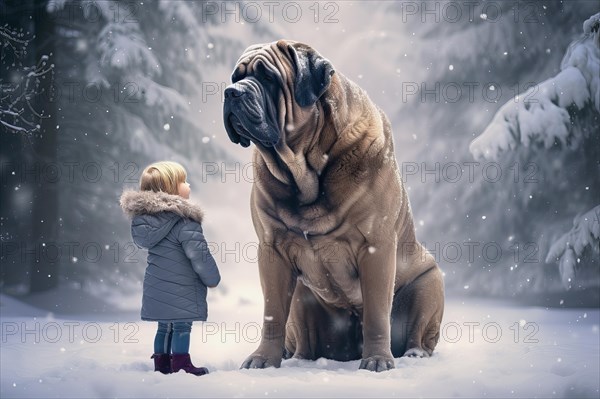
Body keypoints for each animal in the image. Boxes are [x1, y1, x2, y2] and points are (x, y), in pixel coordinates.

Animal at [223, 40, 442, 372]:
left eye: (268, 78)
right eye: (236, 77)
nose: (231, 92)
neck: (305, 168)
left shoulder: (376, 248)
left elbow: (377, 312)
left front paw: (377, 359)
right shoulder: (271, 250)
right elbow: (272, 315)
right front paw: (262, 360)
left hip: (429, 283)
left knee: (417, 332)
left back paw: (413, 354)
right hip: (302, 298)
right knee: (302, 339)